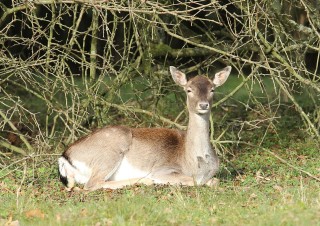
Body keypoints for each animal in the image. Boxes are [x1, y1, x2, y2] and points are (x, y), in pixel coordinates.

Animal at [58, 66, 231, 191]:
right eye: (189, 89)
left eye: (212, 89)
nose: (203, 105)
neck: (195, 162)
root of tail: (64, 157)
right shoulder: (163, 169)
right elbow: (195, 181)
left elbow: (214, 180)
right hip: (110, 152)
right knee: (92, 184)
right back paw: (146, 181)